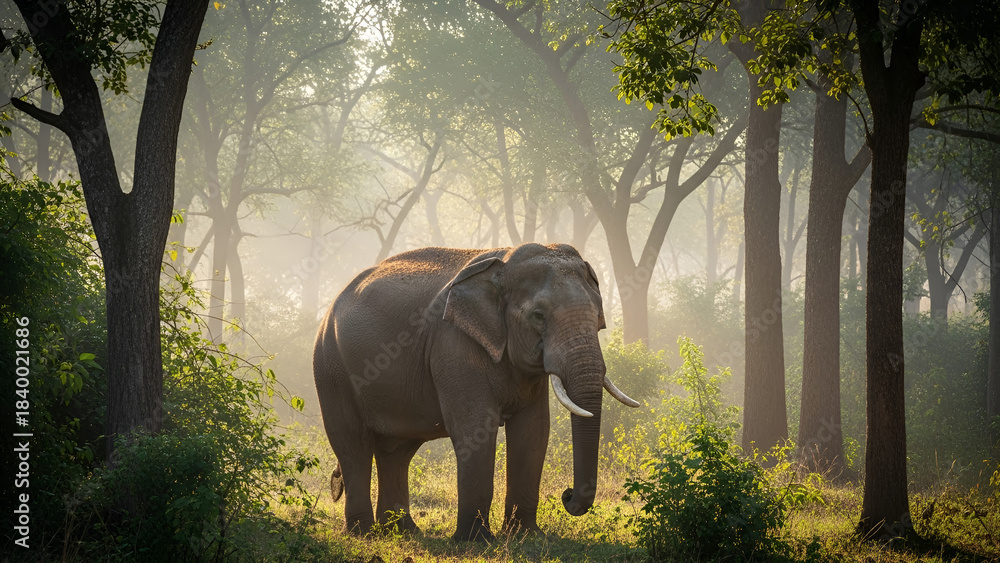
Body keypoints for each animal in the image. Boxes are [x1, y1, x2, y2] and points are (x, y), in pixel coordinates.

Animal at [312, 242, 638, 541]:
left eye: (598, 317)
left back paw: (403, 531)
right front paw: (475, 541)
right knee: (353, 445)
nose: (567, 495)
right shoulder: (454, 344)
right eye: (538, 316)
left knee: (397, 450)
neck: (504, 263)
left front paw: (526, 537)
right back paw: (363, 533)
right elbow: (475, 428)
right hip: (331, 368)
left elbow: (533, 431)